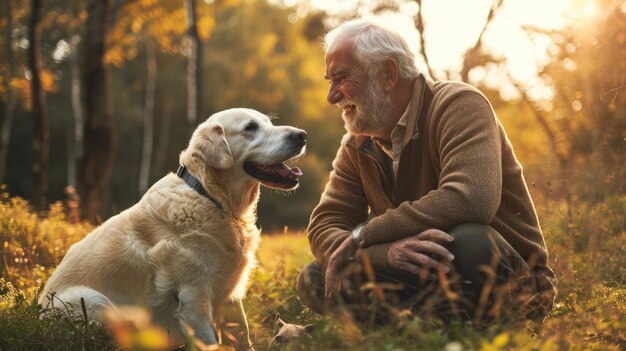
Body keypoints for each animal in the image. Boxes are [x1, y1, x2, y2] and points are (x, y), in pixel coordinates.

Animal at [37, 108, 306, 350]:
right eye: (250, 127)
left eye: (268, 122)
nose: (302, 135)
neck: (209, 197)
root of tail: (39, 310)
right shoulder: (193, 295)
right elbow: (210, 341)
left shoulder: (231, 292)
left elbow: (243, 335)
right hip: (92, 300)